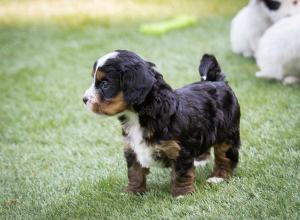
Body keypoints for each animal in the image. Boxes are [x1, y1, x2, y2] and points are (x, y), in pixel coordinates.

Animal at [82, 50, 241, 198]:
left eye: (105, 84)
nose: (84, 99)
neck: (138, 115)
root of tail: (217, 81)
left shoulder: (180, 151)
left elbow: (181, 173)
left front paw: (182, 194)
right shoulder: (131, 148)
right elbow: (134, 172)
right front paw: (132, 192)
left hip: (228, 133)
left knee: (225, 156)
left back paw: (218, 177)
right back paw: (200, 161)